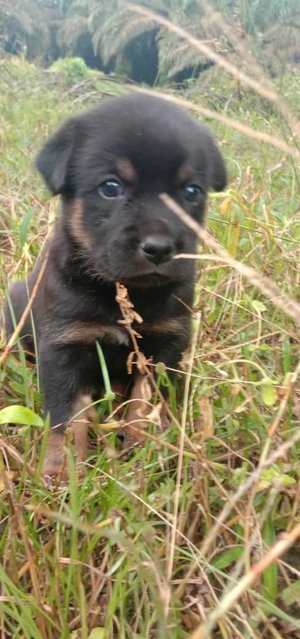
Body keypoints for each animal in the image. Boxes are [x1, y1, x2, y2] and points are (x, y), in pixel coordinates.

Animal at [4, 94, 226, 476]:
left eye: (191, 192)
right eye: (110, 187)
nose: (160, 248)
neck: (124, 290)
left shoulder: (165, 344)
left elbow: (145, 401)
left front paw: (143, 446)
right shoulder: (64, 345)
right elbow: (66, 417)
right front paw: (62, 470)